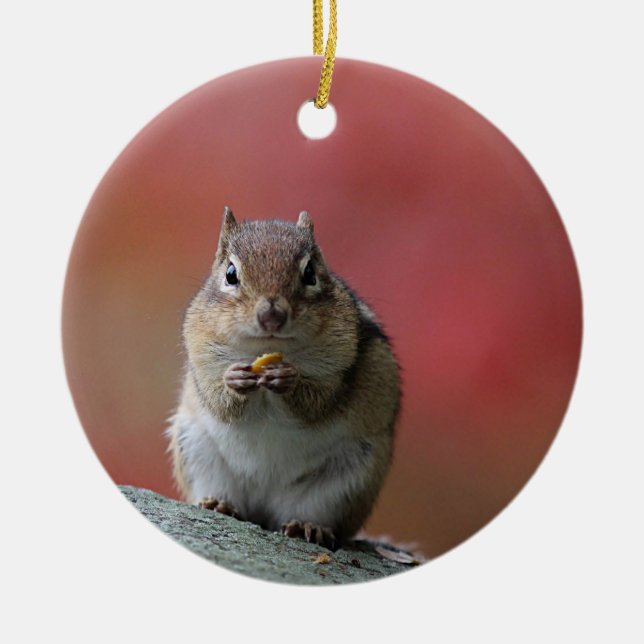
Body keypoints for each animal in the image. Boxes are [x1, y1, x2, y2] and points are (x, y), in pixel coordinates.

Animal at [167, 207, 401, 550]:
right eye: (231, 274)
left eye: (310, 273)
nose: (271, 316)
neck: (266, 349)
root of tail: (263, 512)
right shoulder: (202, 357)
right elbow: (218, 401)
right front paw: (234, 380)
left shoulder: (341, 363)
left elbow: (317, 402)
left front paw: (287, 380)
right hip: (196, 452)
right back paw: (219, 504)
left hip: (349, 479)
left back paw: (308, 527)